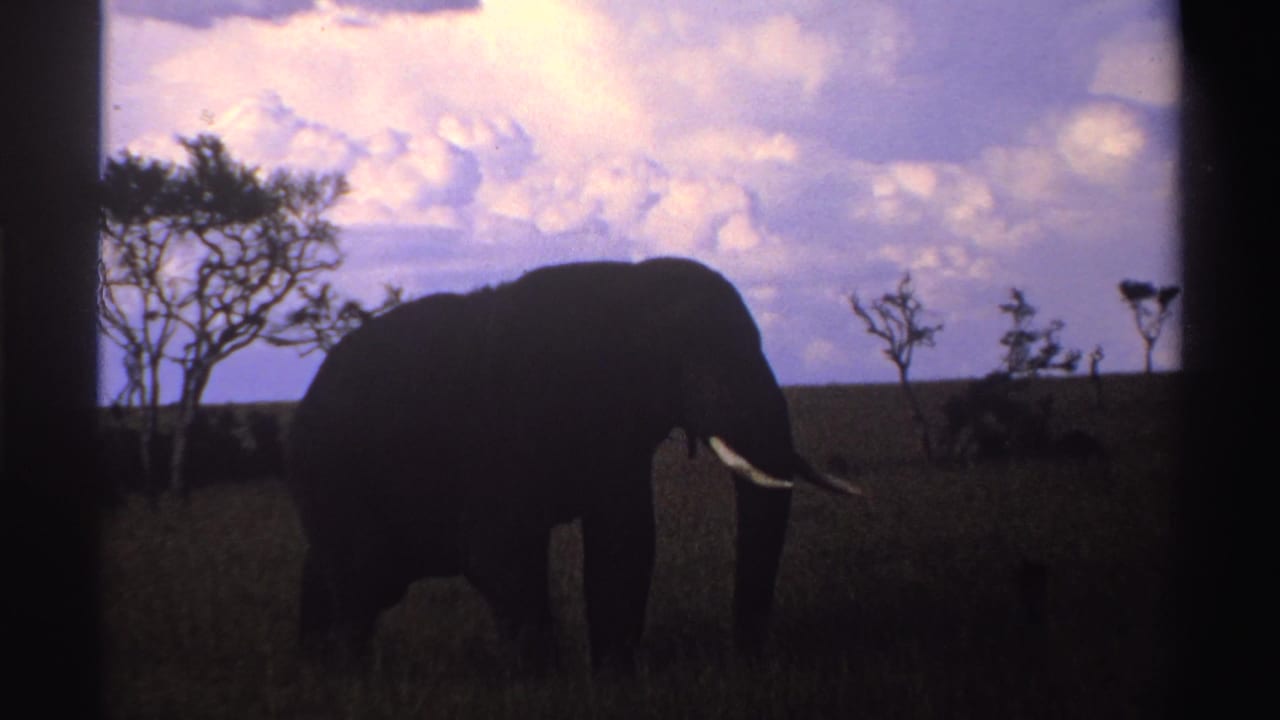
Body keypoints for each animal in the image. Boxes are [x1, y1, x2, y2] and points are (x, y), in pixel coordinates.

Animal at [286, 257, 861, 671]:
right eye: (696, 360)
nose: (747, 659)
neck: (633, 288)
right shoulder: (502, 431)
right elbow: (499, 552)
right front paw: (546, 685)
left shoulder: (619, 437)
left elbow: (626, 541)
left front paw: (614, 677)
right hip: (331, 473)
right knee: (361, 584)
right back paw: (353, 679)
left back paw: (317, 670)